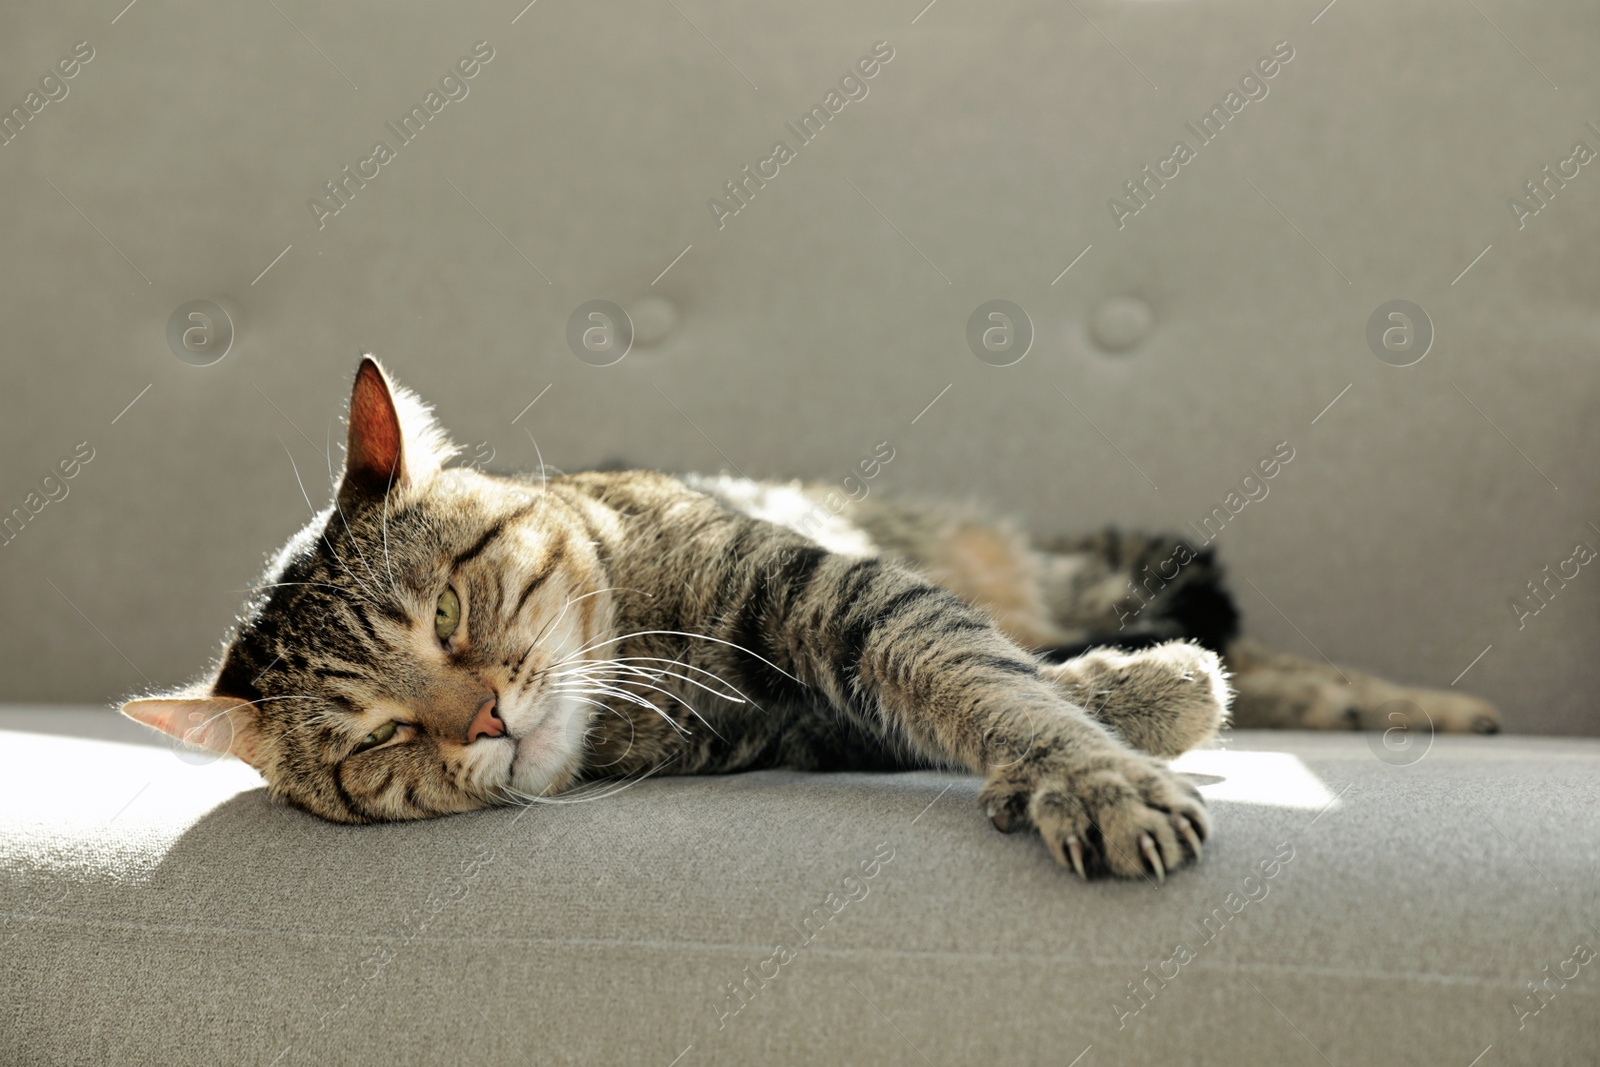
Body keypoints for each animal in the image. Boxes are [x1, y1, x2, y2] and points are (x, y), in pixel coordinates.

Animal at [121, 358, 1497, 883]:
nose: (485, 717)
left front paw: (1095, 765)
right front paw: (1132, 710)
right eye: (377, 742)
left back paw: (1426, 705)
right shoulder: (800, 725)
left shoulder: (826, 590)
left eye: (450, 610)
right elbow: (989, 691)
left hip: (1068, 573)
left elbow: (981, 674)